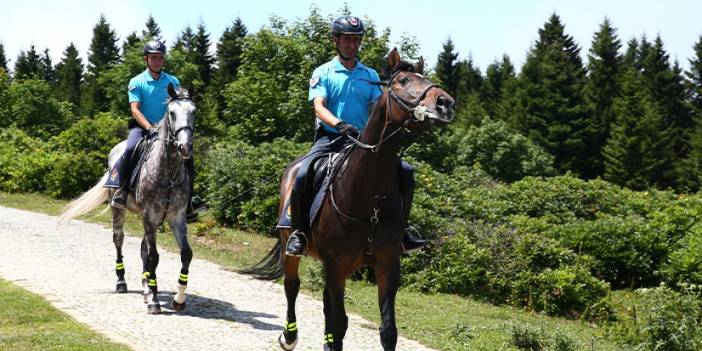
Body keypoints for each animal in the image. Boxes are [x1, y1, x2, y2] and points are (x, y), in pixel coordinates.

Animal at [59, 86, 195, 316]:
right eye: (172, 113)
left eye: (193, 111)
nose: (184, 147)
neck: (168, 173)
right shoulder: (150, 215)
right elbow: (153, 257)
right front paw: (155, 301)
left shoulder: (176, 217)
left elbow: (185, 254)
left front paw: (178, 299)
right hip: (119, 209)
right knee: (118, 240)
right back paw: (122, 282)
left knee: (143, 248)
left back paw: (146, 286)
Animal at [248, 50, 456, 351]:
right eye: (403, 81)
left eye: (426, 78)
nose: (445, 103)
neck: (370, 200)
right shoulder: (336, 265)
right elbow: (339, 323)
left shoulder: (386, 265)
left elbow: (387, 329)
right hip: (292, 244)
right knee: (292, 286)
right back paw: (289, 335)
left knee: (324, 301)